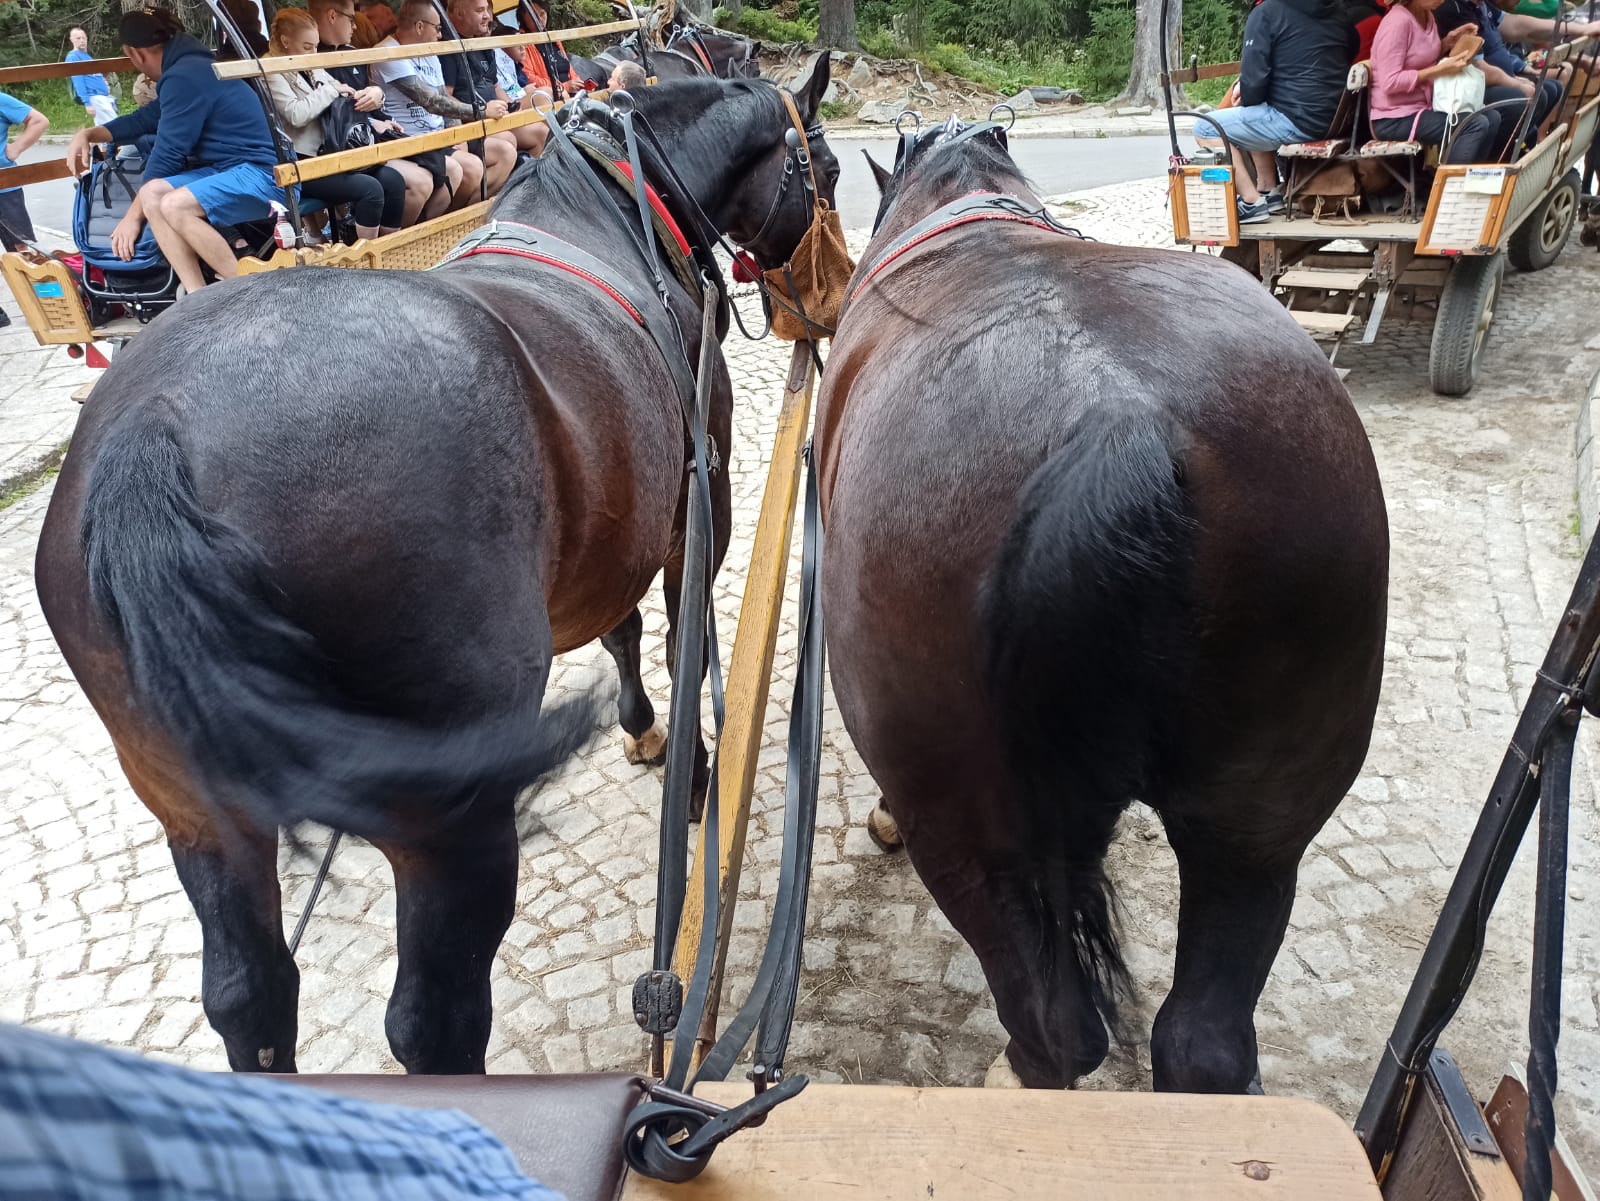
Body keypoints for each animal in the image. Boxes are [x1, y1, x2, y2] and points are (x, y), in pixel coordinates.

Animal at [34, 65, 838, 1081]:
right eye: (827, 169)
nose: (827, 296)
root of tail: (157, 432)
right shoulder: (700, 499)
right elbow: (672, 638)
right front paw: (689, 766)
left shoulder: (611, 530)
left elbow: (617, 629)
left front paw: (643, 729)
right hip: (446, 824)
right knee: (433, 1022)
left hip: (201, 812)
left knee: (249, 995)